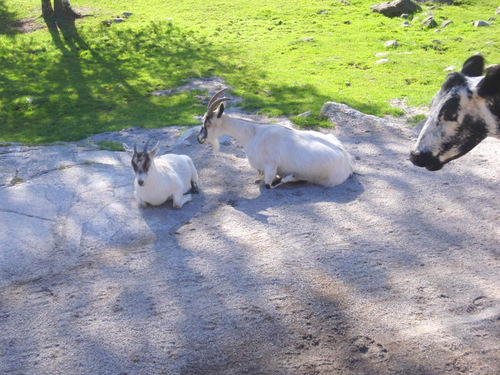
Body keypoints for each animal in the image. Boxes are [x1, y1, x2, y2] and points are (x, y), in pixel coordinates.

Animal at [197, 88, 354, 188]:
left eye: (208, 123)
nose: (199, 139)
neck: (253, 134)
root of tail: (347, 162)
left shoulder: (271, 166)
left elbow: (269, 185)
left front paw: (293, 177)